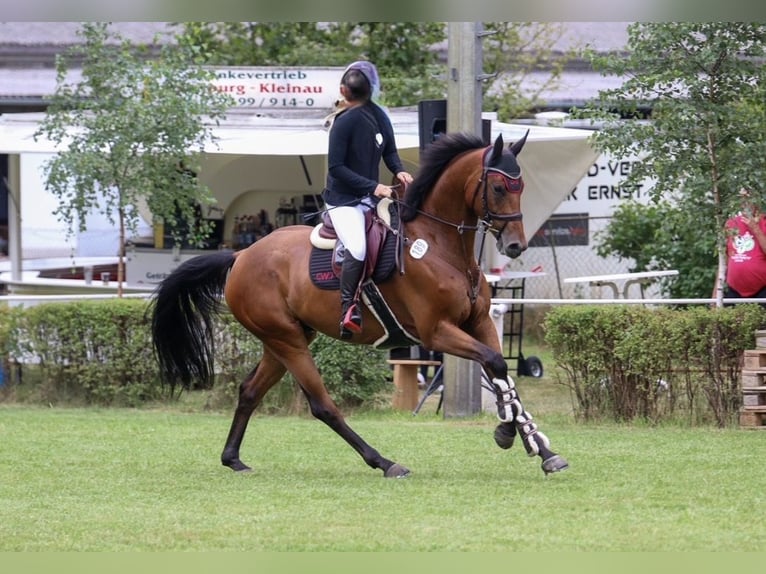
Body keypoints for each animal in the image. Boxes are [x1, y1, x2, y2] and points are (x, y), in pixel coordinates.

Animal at [149, 131, 569, 478]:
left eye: (521, 186)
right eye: (497, 186)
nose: (515, 246)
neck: (442, 246)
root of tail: (240, 256)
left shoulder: (478, 322)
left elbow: (503, 375)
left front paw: (539, 447)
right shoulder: (436, 331)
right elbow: (496, 364)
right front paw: (508, 431)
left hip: (284, 338)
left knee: (251, 391)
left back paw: (233, 458)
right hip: (287, 339)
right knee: (322, 406)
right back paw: (384, 462)